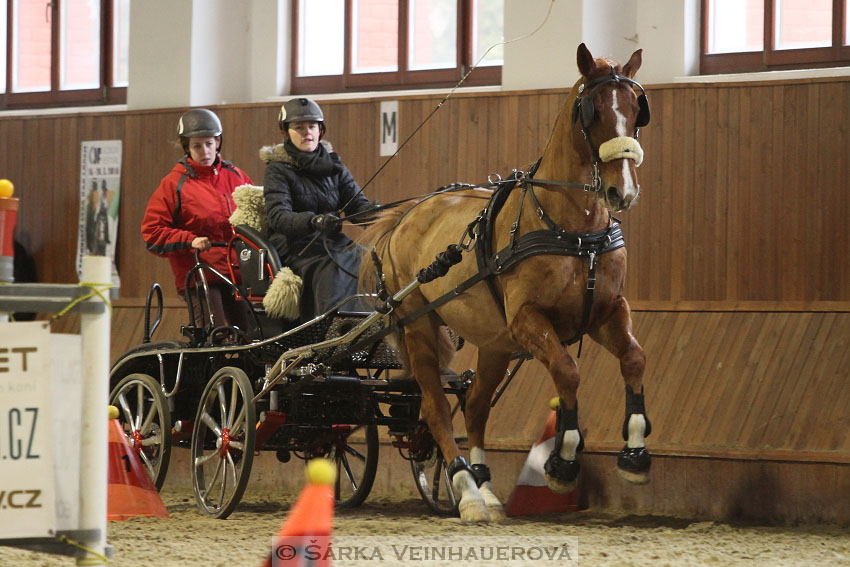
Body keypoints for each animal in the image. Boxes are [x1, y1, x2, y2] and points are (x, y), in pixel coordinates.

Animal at [358, 44, 648, 524]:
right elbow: (568, 372)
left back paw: (485, 488)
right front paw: (563, 462)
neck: (572, 230)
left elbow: (635, 359)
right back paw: (466, 490)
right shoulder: (530, 320)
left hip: (494, 342)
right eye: (592, 112)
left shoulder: (607, 311)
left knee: (475, 404)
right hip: (418, 325)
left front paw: (636, 455)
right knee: (436, 407)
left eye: (635, 108)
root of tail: (405, 215)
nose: (621, 192)